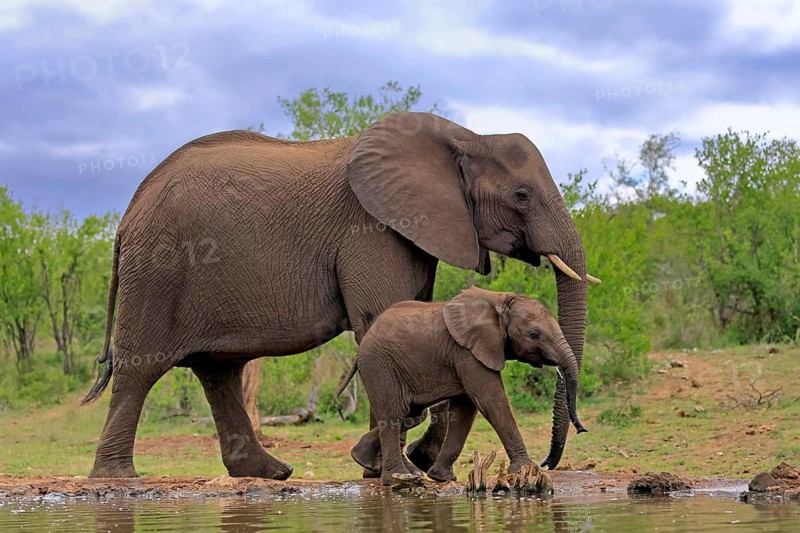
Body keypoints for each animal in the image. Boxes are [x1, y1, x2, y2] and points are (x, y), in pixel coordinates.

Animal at [335, 287, 587, 486]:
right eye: (534, 334)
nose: (582, 430)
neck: (498, 300)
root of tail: (360, 350)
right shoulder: (468, 352)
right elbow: (490, 400)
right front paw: (526, 468)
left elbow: (466, 409)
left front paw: (442, 477)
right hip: (380, 366)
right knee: (394, 415)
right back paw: (398, 478)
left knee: (411, 415)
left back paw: (364, 457)